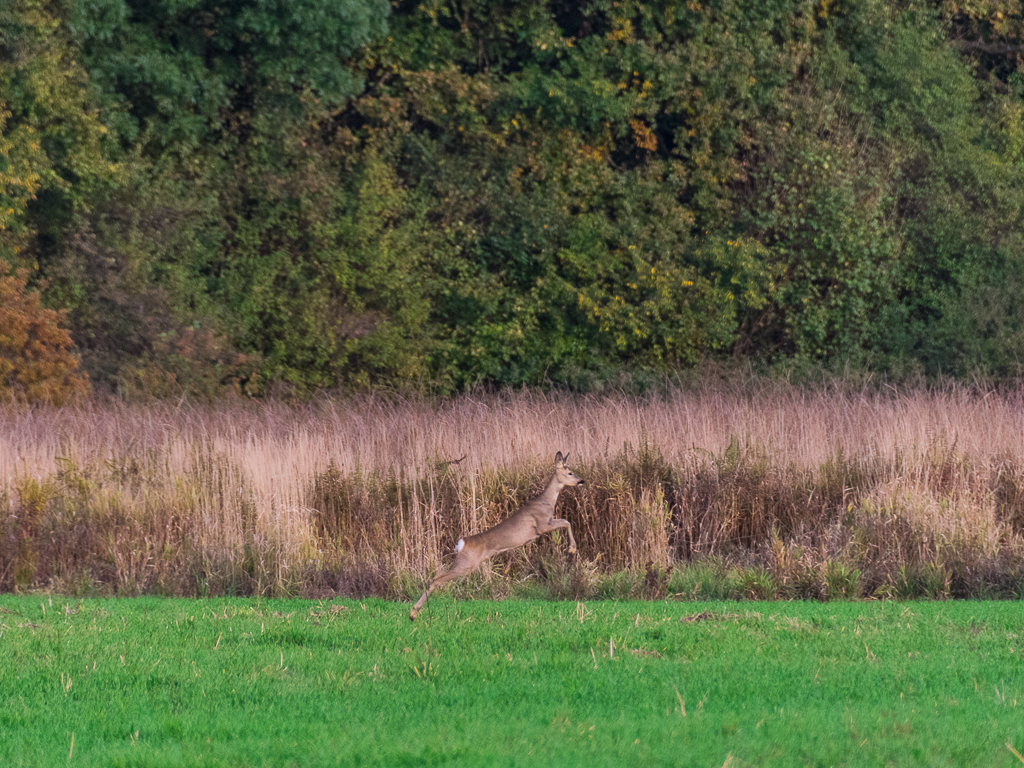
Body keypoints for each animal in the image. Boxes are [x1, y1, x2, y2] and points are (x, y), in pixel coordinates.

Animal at [409, 451, 584, 620]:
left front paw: (572, 549)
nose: (581, 481)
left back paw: (414, 613)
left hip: (461, 562)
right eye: (570, 472)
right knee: (436, 579)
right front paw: (572, 549)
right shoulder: (542, 525)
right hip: (467, 564)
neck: (546, 503)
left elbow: (566, 521)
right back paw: (413, 613)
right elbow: (566, 521)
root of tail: (462, 542)